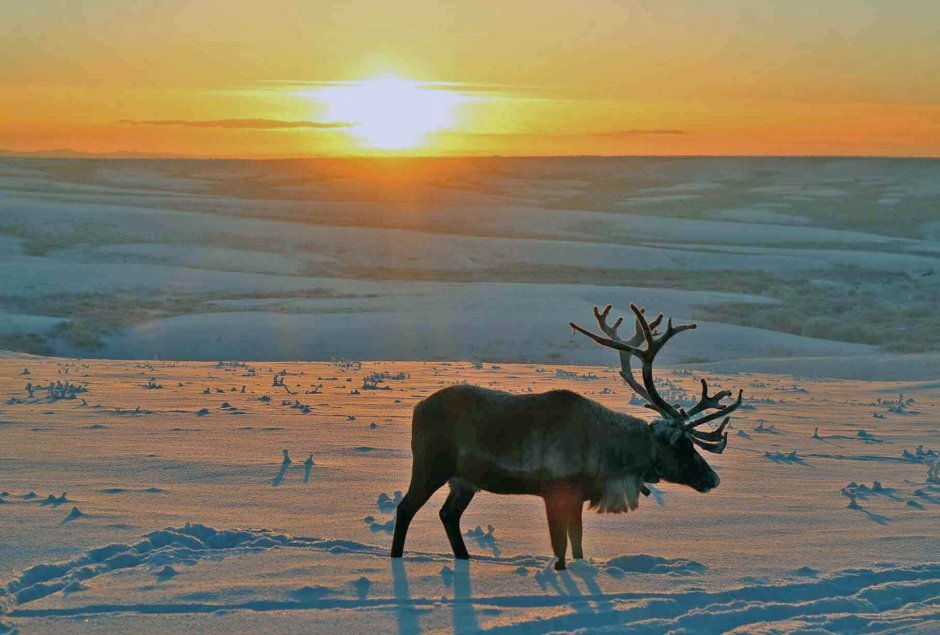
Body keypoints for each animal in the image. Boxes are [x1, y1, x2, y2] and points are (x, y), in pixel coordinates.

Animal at [390, 303, 743, 570]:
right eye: (683, 446)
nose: (713, 478)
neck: (607, 458)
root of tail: (417, 409)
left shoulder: (578, 496)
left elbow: (577, 544)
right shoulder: (555, 490)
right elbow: (560, 547)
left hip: (465, 480)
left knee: (448, 514)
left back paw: (464, 560)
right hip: (431, 466)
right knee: (406, 507)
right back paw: (396, 561)